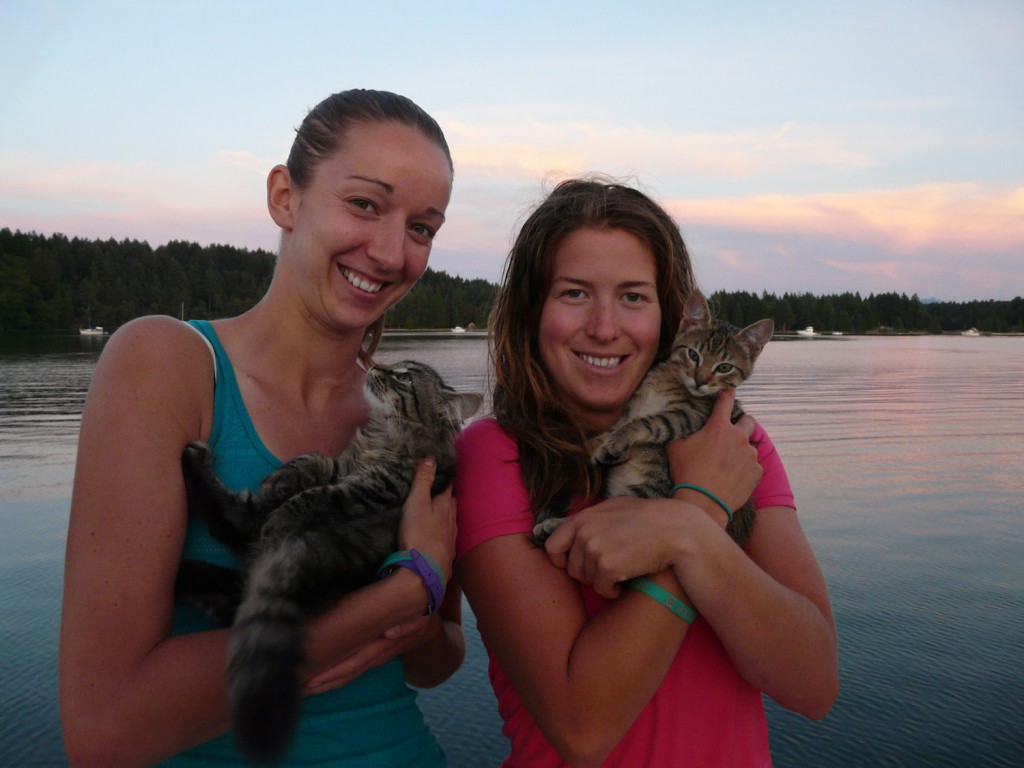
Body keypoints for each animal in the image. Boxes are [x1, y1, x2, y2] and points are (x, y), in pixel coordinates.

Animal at [174, 360, 481, 765]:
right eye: (394, 368)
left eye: (404, 378)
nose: (376, 366)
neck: (385, 434)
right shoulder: (343, 464)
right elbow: (314, 461)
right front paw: (281, 478)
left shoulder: (373, 490)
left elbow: (318, 496)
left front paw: (286, 510)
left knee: (241, 530)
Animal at [536, 288, 770, 548]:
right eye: (693, 354)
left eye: (724, 367)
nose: (700, 381)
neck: (666, 380)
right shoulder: (633, 408)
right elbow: (616, 427)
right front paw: (590, 445)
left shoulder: (689, 416)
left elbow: (644, 423)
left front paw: (613, 444)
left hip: (646, 496)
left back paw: (554, 525)